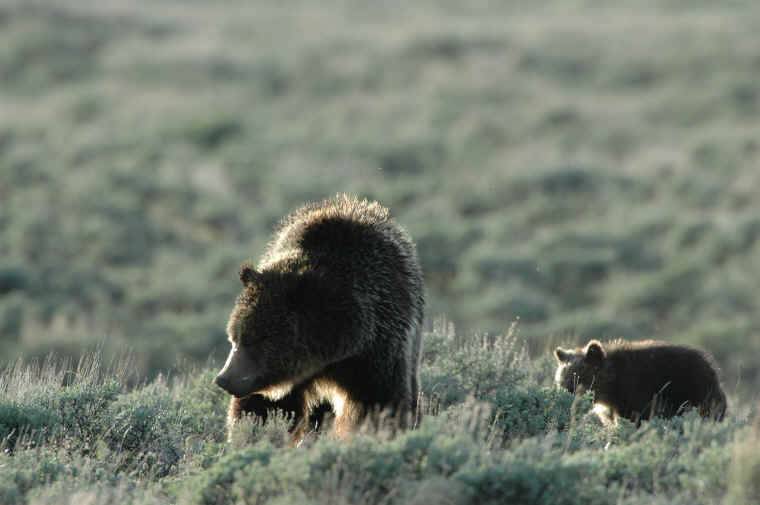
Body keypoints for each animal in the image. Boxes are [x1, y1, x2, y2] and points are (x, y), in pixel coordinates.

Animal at [215, 194, 425, 443]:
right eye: (234, 337)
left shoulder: (375, 350)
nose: (224, 378)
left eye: (258, 339)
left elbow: (378, 402)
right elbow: (265, 408)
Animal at [553, 339, 727, 425]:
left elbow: (637, 417)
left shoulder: (637, 391)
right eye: (561, 383)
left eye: (577, 381)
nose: (565, 401)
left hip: (694, 388)